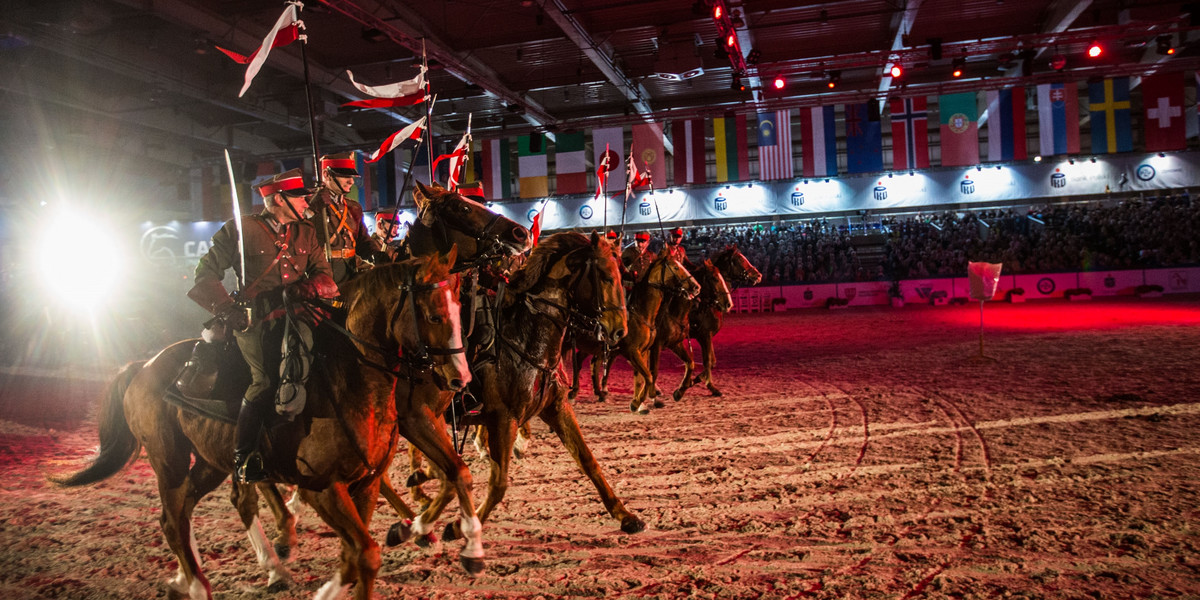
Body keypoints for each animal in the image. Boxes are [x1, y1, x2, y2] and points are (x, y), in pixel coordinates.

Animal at [55, 253, 468, 600]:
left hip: (211, 462)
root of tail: (143, 366)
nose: (459, 377)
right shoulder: (323, 489)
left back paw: (195, 578)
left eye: (459, 309)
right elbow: (365, 554)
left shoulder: (363, 486)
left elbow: (356, 556)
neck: (347, 381)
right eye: (434, 316)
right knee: (175, 521)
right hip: (169, 462)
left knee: (191, 511)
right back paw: (204, 586)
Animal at [566, 253, 700, 412]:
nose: (696, 287)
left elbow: (687, 364)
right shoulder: (638, 350)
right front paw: (642, 400)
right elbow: (650, 374)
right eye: (675, 267)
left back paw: (595, 392)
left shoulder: (652, 348)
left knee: (587, 362)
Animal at [652, 260, 734, 400]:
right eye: (714, 278)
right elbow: (708, 361)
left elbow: (711, 361)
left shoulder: (706, 337)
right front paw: (709, 386)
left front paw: (691, 382)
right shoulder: (704, 336)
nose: (728, 304)